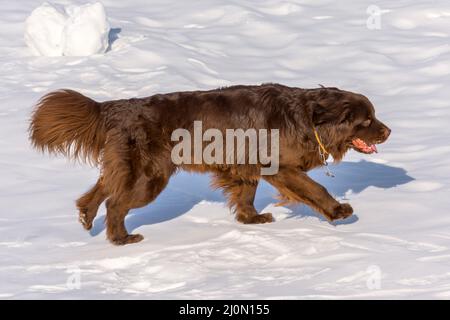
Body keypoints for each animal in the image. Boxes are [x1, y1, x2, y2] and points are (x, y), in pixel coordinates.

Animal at [29, 83, 390, 245]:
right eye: (367, 120)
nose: (388, 130)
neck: (310, 118)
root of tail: (118, 107)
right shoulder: (281, 167)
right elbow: (315, 188)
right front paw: (339, 211)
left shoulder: (245, 166)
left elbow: (246, 194)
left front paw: (251, 220)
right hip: (150, 176)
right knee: (116, 203)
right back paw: (122, 239)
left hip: (129, 167)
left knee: (103, 188)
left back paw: (86, 216)